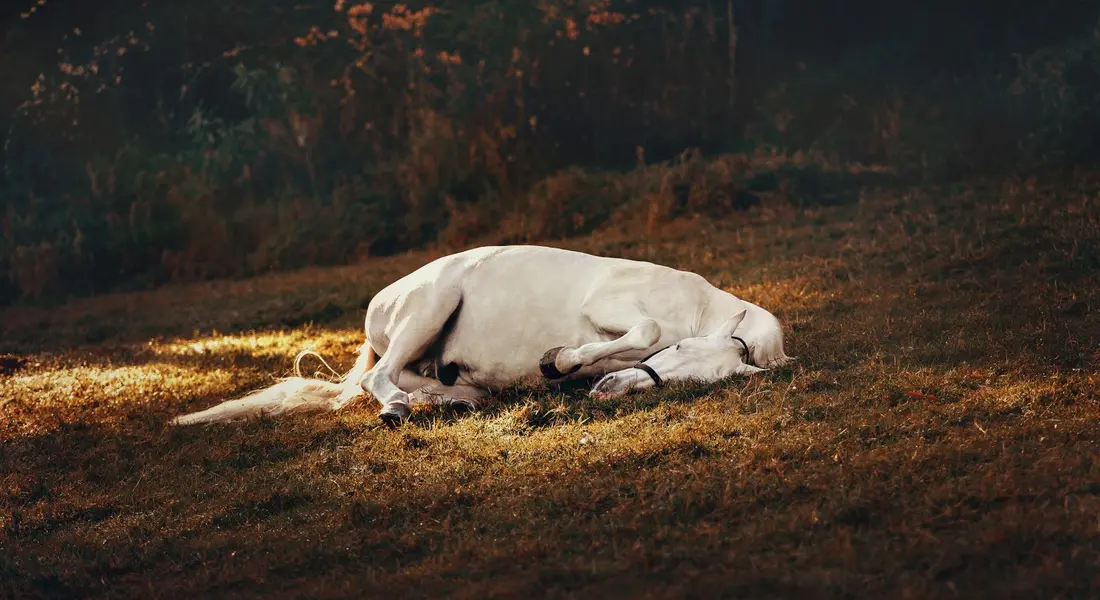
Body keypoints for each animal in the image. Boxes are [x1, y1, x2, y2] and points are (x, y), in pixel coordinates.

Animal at [170, 245, 792, 427]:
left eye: (691, 382)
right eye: (680, 352)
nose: (609, 392)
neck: (697, 305)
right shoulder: (612, 307)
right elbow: (644, 328)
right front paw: (559, 360)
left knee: (419, 381)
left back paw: (451, 400)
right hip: (431, 304)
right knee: (379, 379)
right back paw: (397, 409)